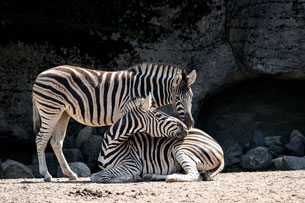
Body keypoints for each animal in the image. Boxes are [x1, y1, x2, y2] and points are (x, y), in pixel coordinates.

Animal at [32, 62, 196, 182]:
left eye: (192, 97)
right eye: (177, 98)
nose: (189, 124)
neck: (143, 87)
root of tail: (40, 75)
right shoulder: (127, 110)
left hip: (63, 112)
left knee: (56, 142)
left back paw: (70, 174)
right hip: (50, 109)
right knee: (41, 139)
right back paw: (46, 174)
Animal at [90, 95, 223, 182]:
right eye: (159, 115)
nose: (186, 127)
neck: (111, 143)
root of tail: (218, 145)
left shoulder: (133, 164)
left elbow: (98, 176)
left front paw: (129, 177)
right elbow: (101, 174)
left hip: (181, 149)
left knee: (194, 175)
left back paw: (171, 178)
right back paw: (150, 176)